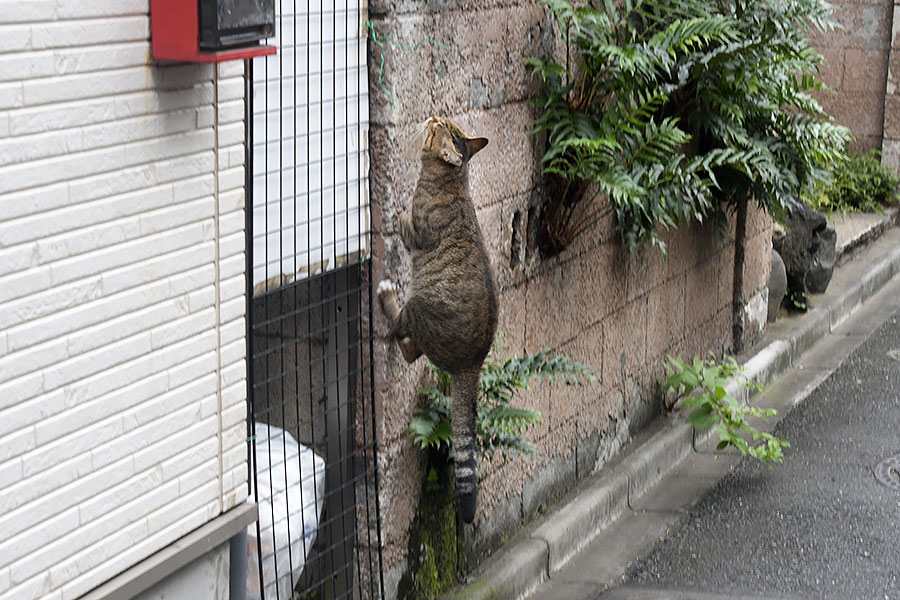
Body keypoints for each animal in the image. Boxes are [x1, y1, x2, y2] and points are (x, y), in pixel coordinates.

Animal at [374, 115, 500, 524]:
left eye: (437, 126)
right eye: (447, 121)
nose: (431, 116)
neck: (453, 180)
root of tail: (474, 364)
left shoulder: (416, 233)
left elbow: (405, 221)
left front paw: (395, 209)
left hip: (420, 304)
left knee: (405, 335)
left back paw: (386, 295)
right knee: (412, 348)